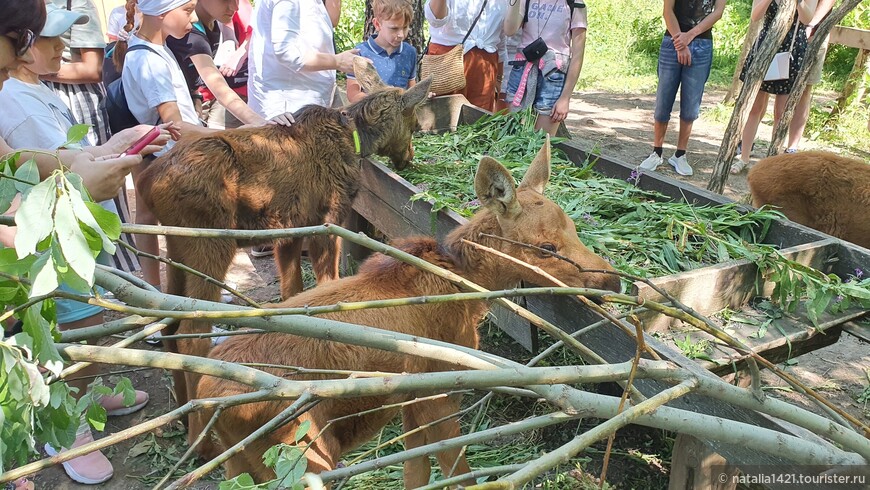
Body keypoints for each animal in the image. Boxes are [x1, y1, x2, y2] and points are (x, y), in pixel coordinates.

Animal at [138, 61, 434, 406]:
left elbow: (292, 295)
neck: (355, 139)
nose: (408, 158)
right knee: (191, 334)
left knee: (170, 325)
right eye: (414, 123)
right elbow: (326, 285)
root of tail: (146, 183)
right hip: (209, 244)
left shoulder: (289, 230)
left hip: (176, 247)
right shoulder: (327, 223)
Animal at [198, 140, 620, 488]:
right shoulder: (438, 389)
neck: (468, 289)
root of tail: (210, 403)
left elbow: (415, 473)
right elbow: (458, 472)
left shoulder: (411, 397)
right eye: (547, 247)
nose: (613, 280)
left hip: (240, 464)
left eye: (574, 228)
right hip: (303, 457)